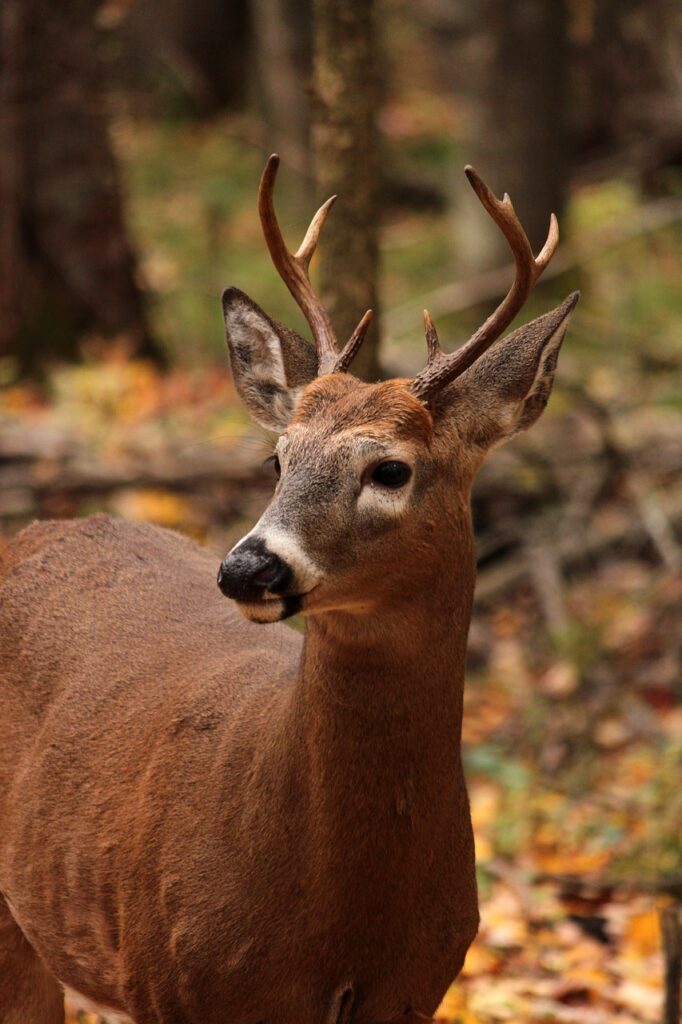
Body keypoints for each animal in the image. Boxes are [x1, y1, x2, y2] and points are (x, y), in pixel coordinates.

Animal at [0, 153, 577, 1024]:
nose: (247, 568)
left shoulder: (415, 990)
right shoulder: (173, 981)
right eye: (277, 458)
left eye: (390, 469)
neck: (338, 919)